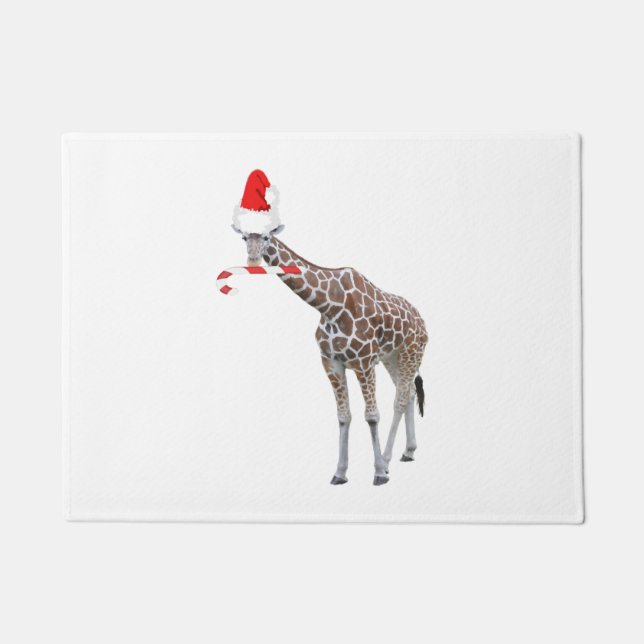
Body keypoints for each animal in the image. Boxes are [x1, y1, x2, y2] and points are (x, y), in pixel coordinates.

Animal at [234, 230, 428, 486]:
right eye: (245, 238)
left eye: (266, 237)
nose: (253, 259)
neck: (329, 306)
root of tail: (421, 320)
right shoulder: (331, 362)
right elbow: (343, 417)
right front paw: (340, 473)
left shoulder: (364, 362)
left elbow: (372, 416)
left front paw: (378, 472)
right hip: (392, 357)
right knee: (409, 392)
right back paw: (408, 451)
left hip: (411, 351)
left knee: (400, 399)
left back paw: (386, 460)